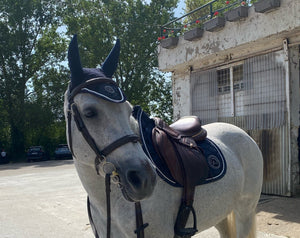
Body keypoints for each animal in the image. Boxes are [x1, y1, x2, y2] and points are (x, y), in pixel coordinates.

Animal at [63, 35, 262, 238]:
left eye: (128, 111)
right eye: (89, 112)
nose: (144, 179)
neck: (108, 204)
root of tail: (242, 133)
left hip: (244, 211)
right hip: (221, 213)